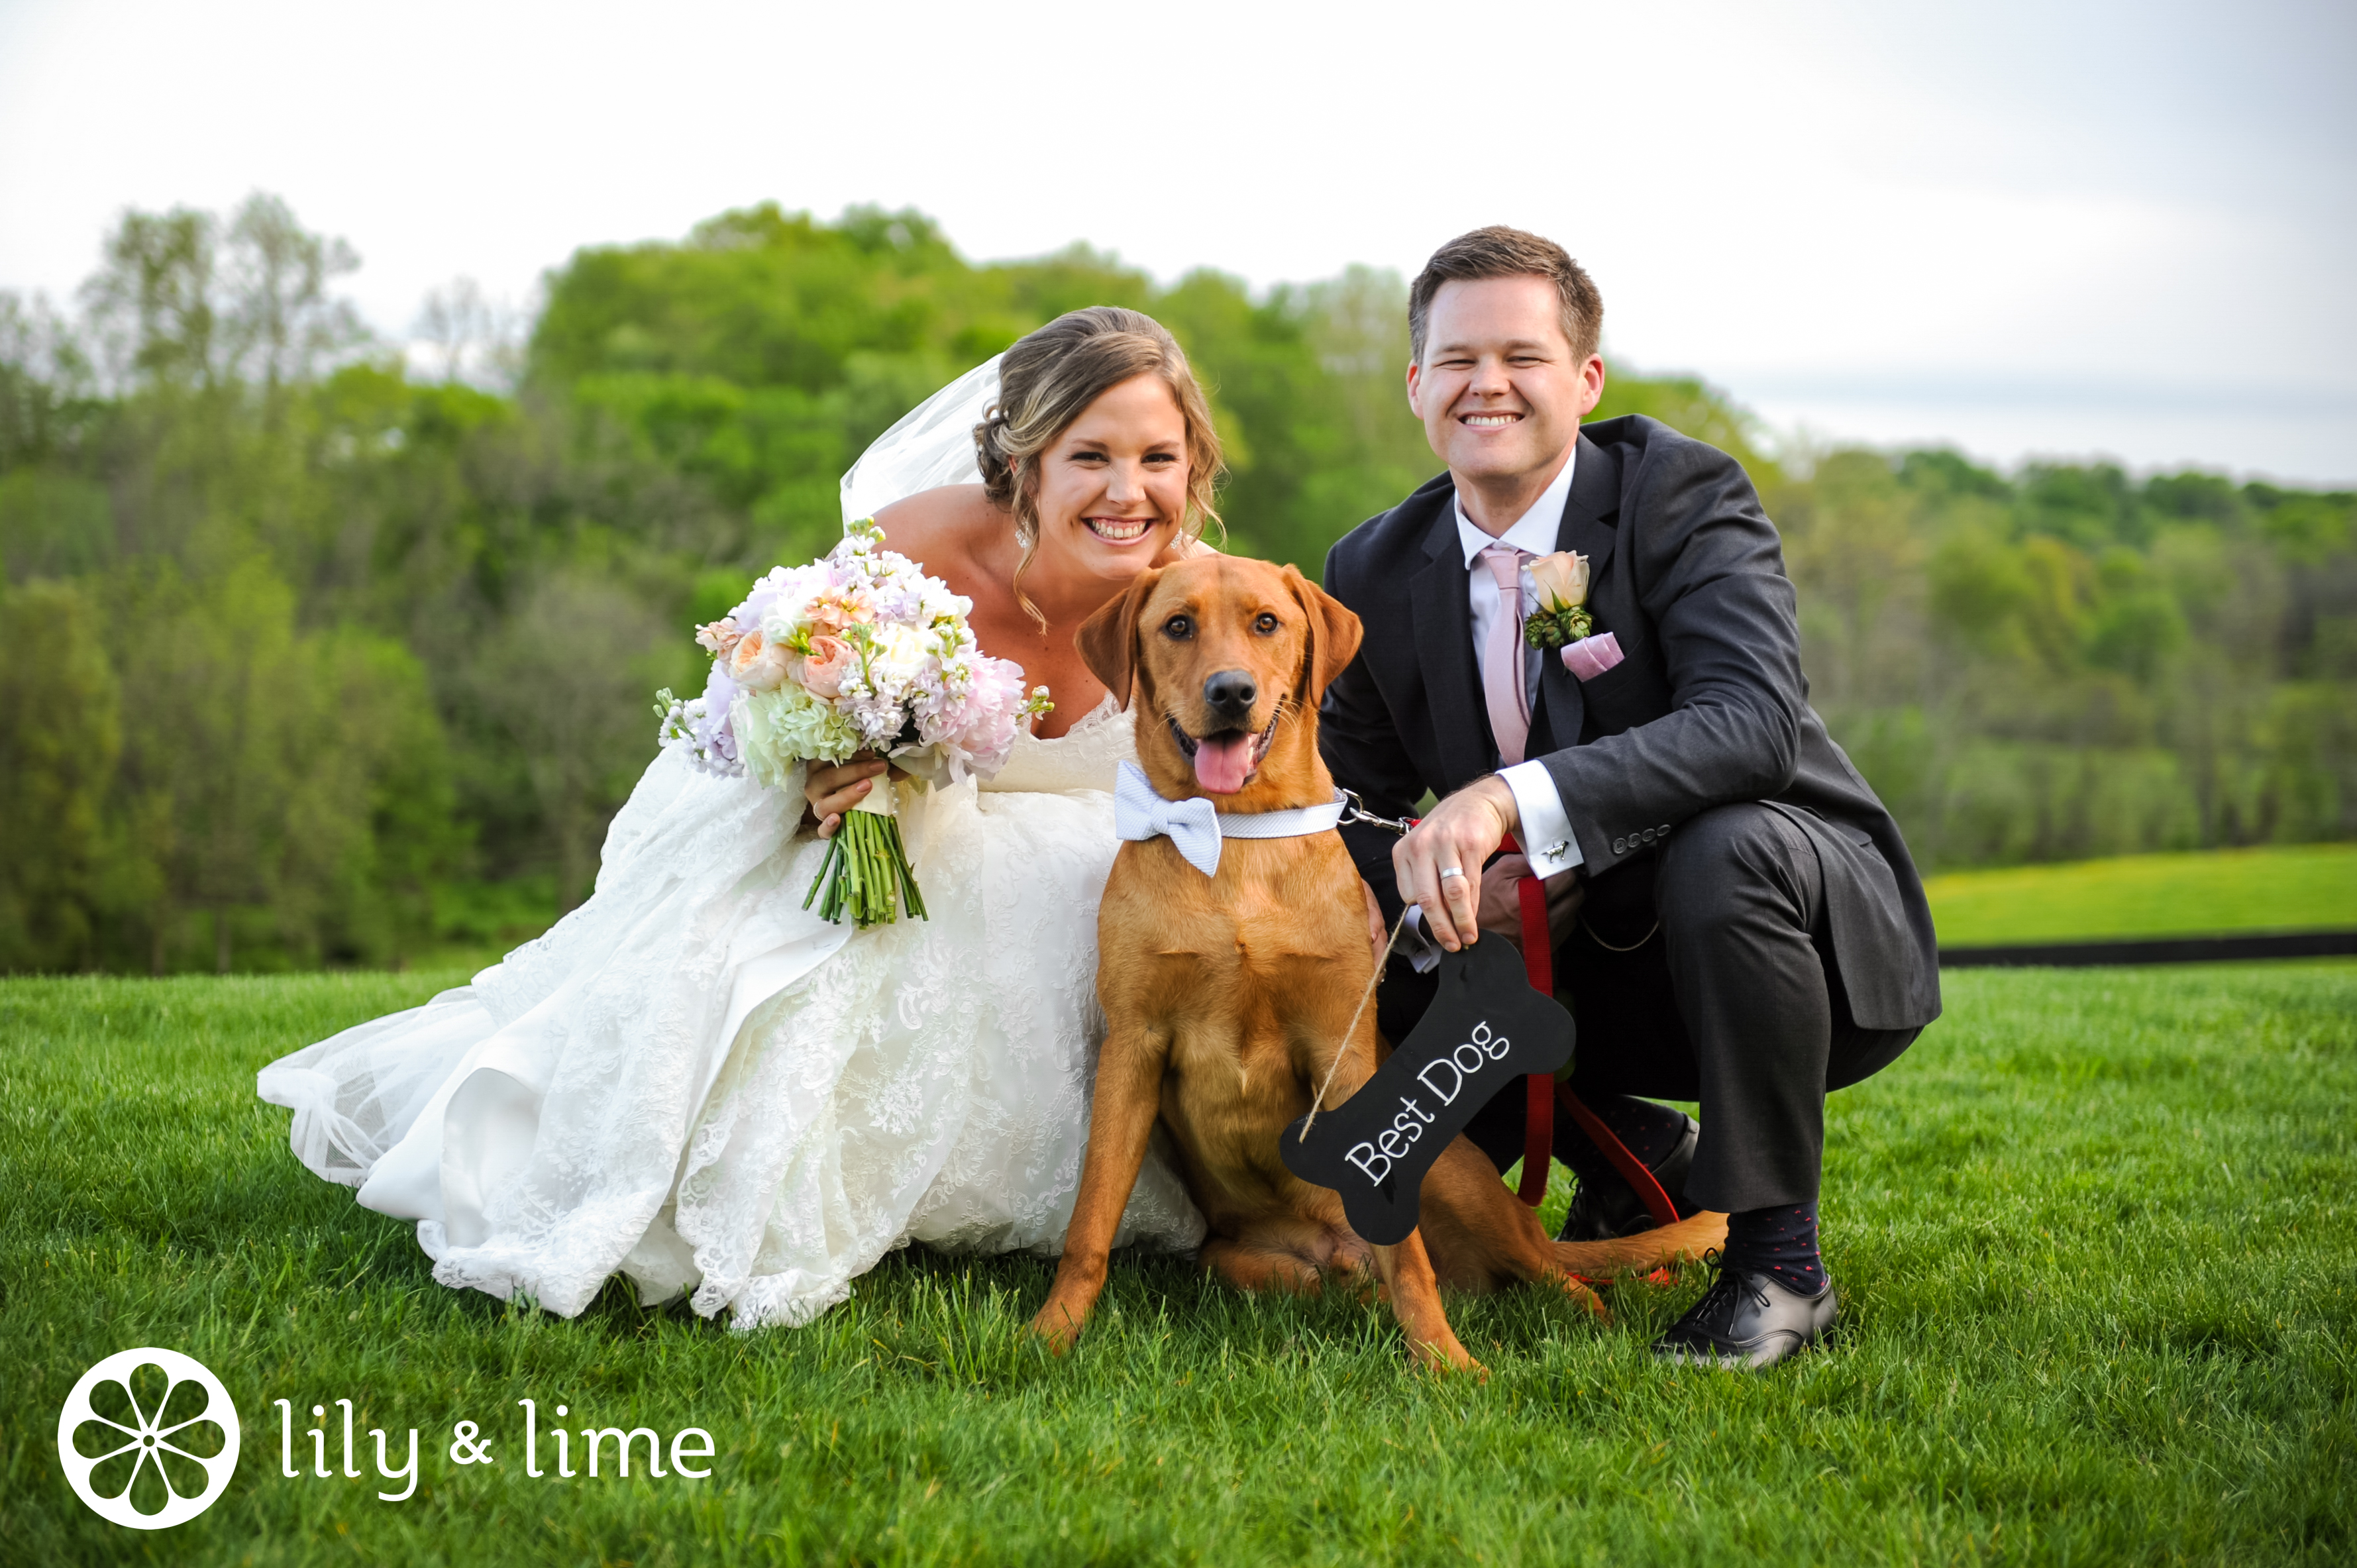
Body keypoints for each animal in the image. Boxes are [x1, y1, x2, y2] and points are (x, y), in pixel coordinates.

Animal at [1023, 556, 1725, 1367]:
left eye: (1267, 622)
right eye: (1177, 625)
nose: (1231, 692)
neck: (1233, 838)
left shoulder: (1342, 1047)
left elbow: (1409, 1260)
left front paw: (1445, 1363)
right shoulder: (1132, 1047)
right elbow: (1091, 1220)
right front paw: (1050, 1334)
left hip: (1463, 1188)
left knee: (1553, 1278)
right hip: (1241, 1265)